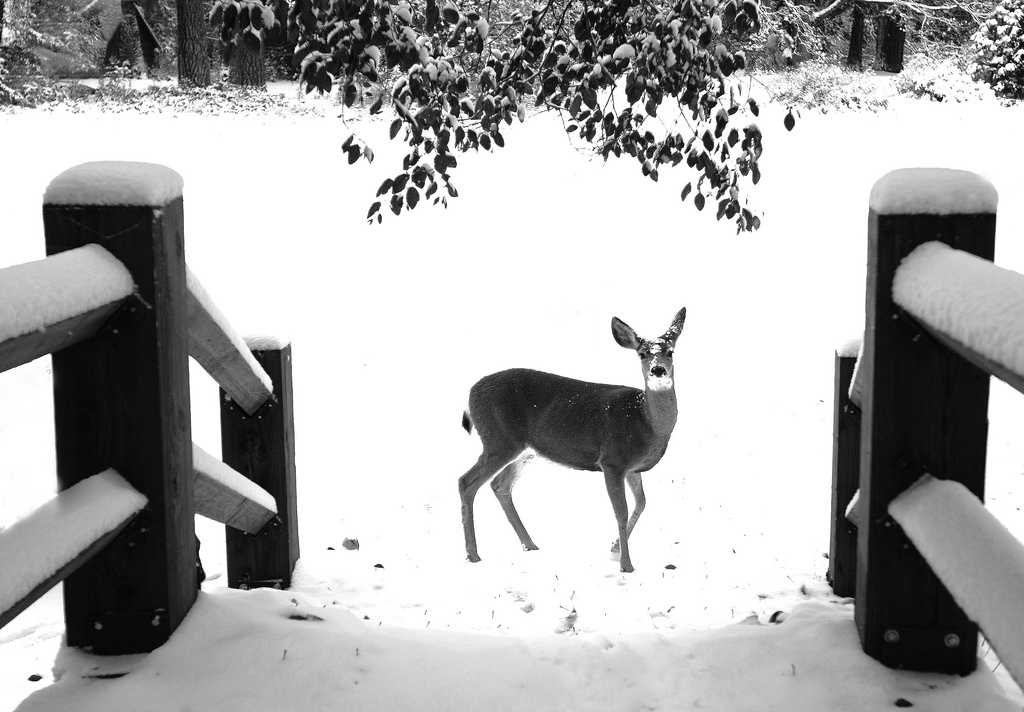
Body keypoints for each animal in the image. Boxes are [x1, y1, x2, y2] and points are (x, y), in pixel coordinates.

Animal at [458, 307, 688, 573]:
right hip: (498, 440)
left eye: (670, 351)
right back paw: (473, 554)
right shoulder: (612, 461)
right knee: (466, 482)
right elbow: (621, 511)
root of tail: (470, 394)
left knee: (500, 485)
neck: (645, 420)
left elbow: (641, 503)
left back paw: (530, 545)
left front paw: (613, 548)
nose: (658, 370)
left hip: (524, 450)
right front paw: (626, 565)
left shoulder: (632, 468)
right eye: (642, 354)